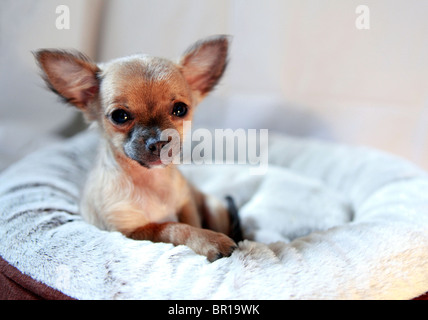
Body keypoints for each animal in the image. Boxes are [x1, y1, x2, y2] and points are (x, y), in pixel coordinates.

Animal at [35, 35, 242, 260]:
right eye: (119, 116)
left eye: (180, 109)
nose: (159, 142)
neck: (152, 181)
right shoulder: (132, 232)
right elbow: (172, 227)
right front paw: (210, 240)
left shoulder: (187, 203)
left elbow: (189, 222)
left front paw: (207, 235)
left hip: (215, 206)